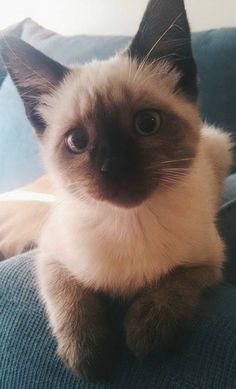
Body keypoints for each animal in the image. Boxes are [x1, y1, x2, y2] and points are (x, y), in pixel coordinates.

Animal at [0, 0, 232, 382]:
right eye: (77, 141)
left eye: (147, 124)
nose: (115, 167)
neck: (129, 221)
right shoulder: (51, 257)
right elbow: (71, 300)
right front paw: (88, 357)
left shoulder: (208, 261)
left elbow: (174, 283)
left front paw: (148, 334)